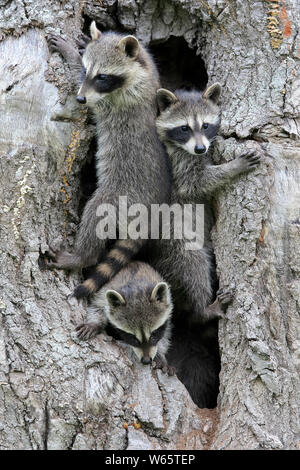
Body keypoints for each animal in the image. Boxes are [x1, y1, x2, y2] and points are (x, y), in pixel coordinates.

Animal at [44, 23, 171, 298]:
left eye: (102, 76)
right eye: (87, 70)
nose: (80, 100)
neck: (141, 71)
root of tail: (153, 209)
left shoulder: (117, 101)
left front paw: (69, 52)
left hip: (121, 195)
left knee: (96, 213)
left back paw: (80, 256)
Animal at [152, 83, 260, 324]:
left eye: (206, 125)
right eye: (184, 128)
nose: (201, 149)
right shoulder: (178, 163)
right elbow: (196, 183)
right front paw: (233, 167)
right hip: (177, 242)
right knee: (194, 267)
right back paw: (203, 309)